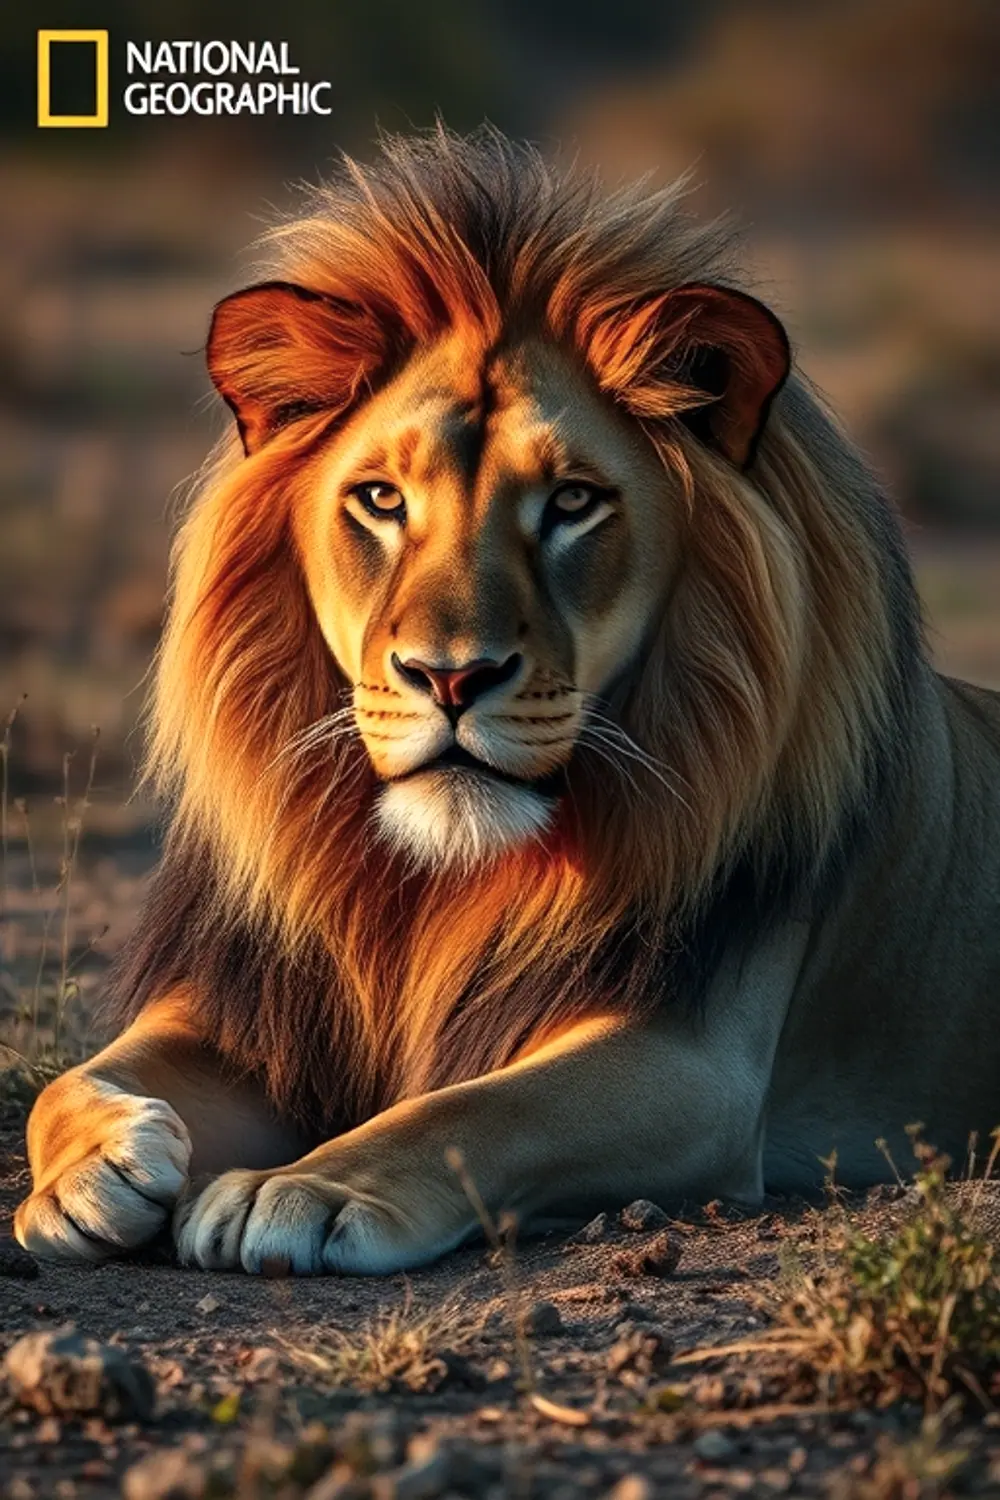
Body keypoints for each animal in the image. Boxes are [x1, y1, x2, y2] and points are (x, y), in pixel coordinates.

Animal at [14, 128, 1000, 1275]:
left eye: (571, 502)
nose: (450, 677)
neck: (435, 887)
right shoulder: (253, 1009)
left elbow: (469, 1112)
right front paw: (95, 1169)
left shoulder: (694, 1064)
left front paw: (297, 1187)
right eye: (381, 500)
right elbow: (70, 1078)